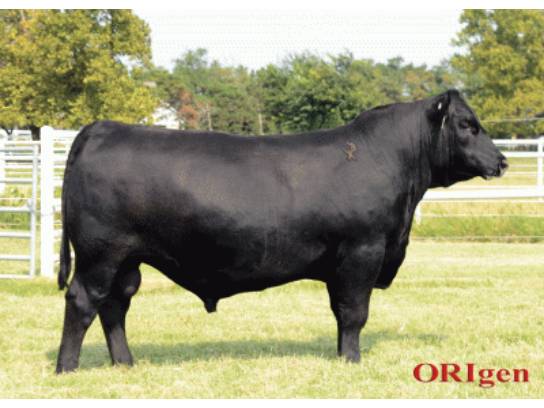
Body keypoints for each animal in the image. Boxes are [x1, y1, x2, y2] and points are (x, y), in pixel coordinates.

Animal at [55, 89, 508, 373]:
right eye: (467, 124)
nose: (502, 161)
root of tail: (103, 127)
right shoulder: (362, 251)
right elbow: (354, 313)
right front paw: (352, 362)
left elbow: (340, 312)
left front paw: (342, 356)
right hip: (99, 254)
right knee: (84, 300)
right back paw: (67, 368)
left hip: (125, 260)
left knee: (115, 305)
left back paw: (125, 364)